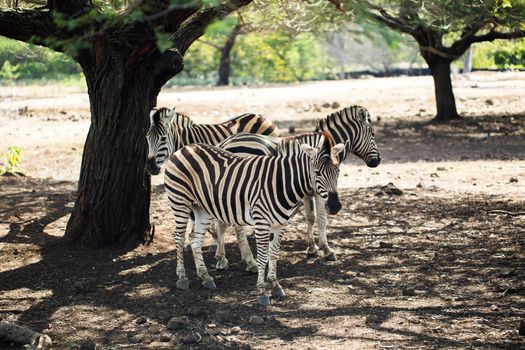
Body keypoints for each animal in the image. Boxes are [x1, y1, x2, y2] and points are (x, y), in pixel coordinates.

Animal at [164, 135, 344, 304]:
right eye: (317, 172)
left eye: (338, 171)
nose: (335, 206)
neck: (282, 183)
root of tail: (186, 147)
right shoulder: (261, 223)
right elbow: (263, 257)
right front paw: (262, 292)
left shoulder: (280, 224)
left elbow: (274, 254)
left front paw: (275, 285)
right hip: (180, 201)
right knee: (179, 238)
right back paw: (182, 277)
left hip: (203, 208)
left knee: (195, 240)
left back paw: (205, 277)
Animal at [215, 105, 378, 262]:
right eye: (373, 134)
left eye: (338, 172)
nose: (378, 161)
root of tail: (224, 143)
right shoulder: (317, 190)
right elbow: (321, 218)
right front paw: (326, 249)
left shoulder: (307, 191)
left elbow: (310, 217)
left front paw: (312, 248)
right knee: (236, 226)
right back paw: (248, 259)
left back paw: (222, 257)